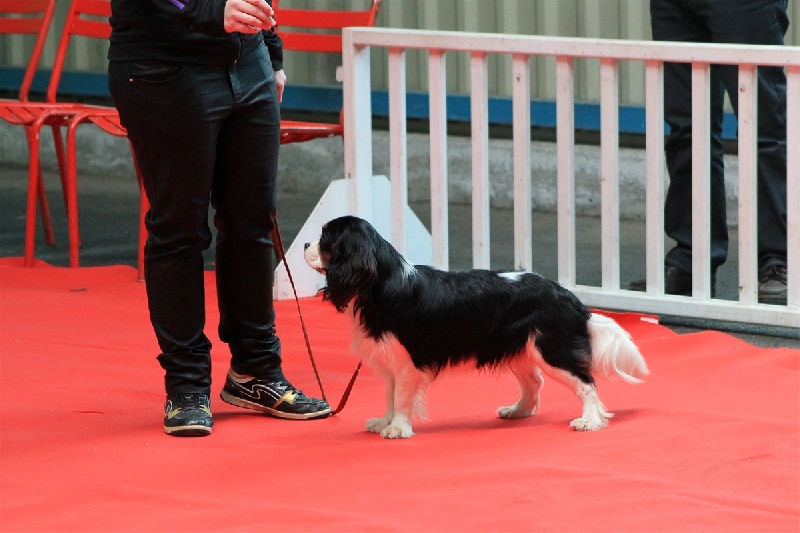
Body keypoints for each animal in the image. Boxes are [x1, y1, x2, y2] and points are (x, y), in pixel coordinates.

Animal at [304, 214, 648, 438]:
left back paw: (590, 421)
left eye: (326, 239)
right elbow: (390, 395)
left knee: (586, 383)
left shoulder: (408, 362)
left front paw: (398, 428)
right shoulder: (391, 361)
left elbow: (401, 396)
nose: (306, 242)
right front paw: (384, 422)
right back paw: (518, 411)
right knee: (534, 382)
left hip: (552, 349)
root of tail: (570, 297)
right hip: (519, 348)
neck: (382, 283)